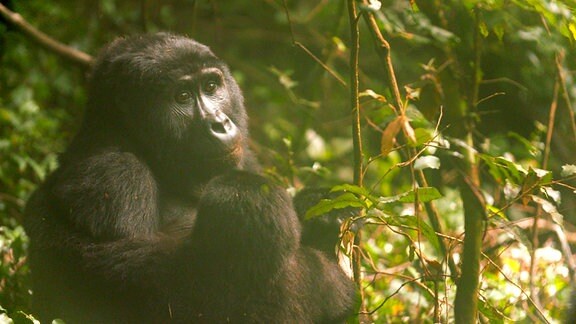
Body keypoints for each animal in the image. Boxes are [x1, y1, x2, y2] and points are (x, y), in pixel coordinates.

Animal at [25, 33, 356, 324]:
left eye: (211, 87)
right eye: (182, 96)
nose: (220, 123)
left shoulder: (244, 155)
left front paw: (320, 208)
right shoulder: (112, 177)